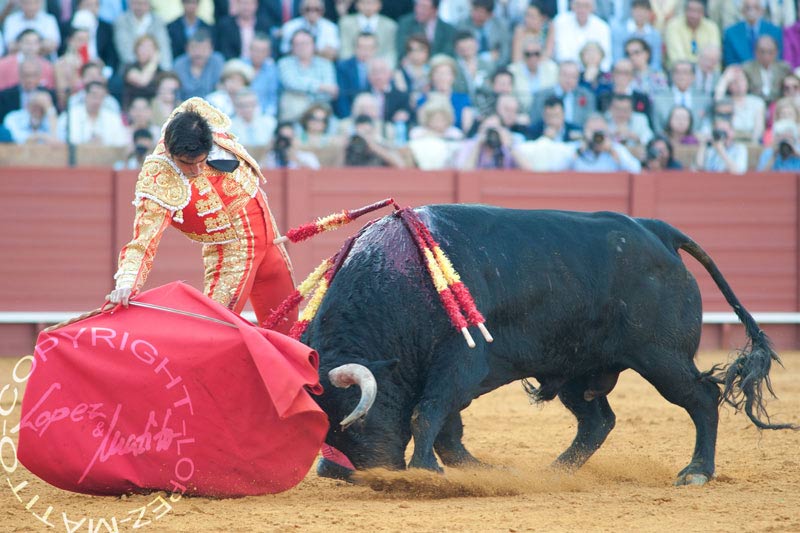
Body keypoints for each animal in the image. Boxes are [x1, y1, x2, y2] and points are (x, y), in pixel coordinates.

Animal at [304, 203, 796, 482]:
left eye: (353, 416)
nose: (336, 472)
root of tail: (655, 230)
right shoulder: (453, 375)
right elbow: (446, 431)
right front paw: (481, 472)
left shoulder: (459, 364)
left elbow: (428, 415)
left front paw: (425, 474)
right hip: (579, 369)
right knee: (597, 421)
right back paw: (554, 473)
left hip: (663, 358)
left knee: (702, 398)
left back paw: (696, 472)